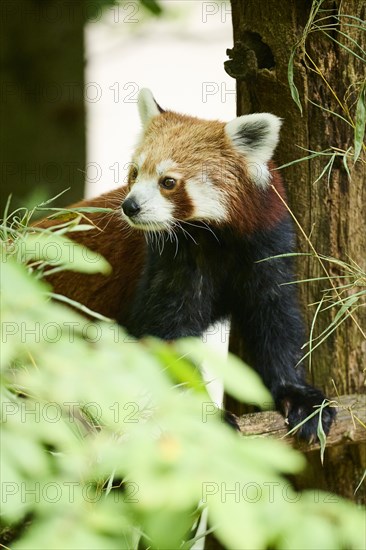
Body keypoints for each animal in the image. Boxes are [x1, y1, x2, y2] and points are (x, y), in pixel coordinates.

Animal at [36, 90, 334, 444]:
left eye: (168, 182)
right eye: (135, 173)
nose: (130, 206)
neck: (214, 237)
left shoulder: (265, 244)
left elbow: (275, 318)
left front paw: (300, 396)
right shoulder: (169, 261)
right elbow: (169, 335)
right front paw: (201, 414)